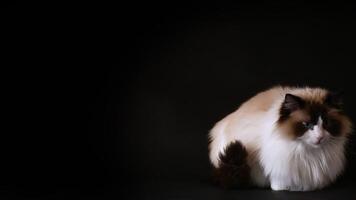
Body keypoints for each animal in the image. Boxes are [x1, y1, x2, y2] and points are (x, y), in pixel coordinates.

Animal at [209, 85, 354, 191]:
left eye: (326, 123)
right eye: (307, 124)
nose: (320, 137)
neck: (308, 152)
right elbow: (276, 177)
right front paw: (282, 188)